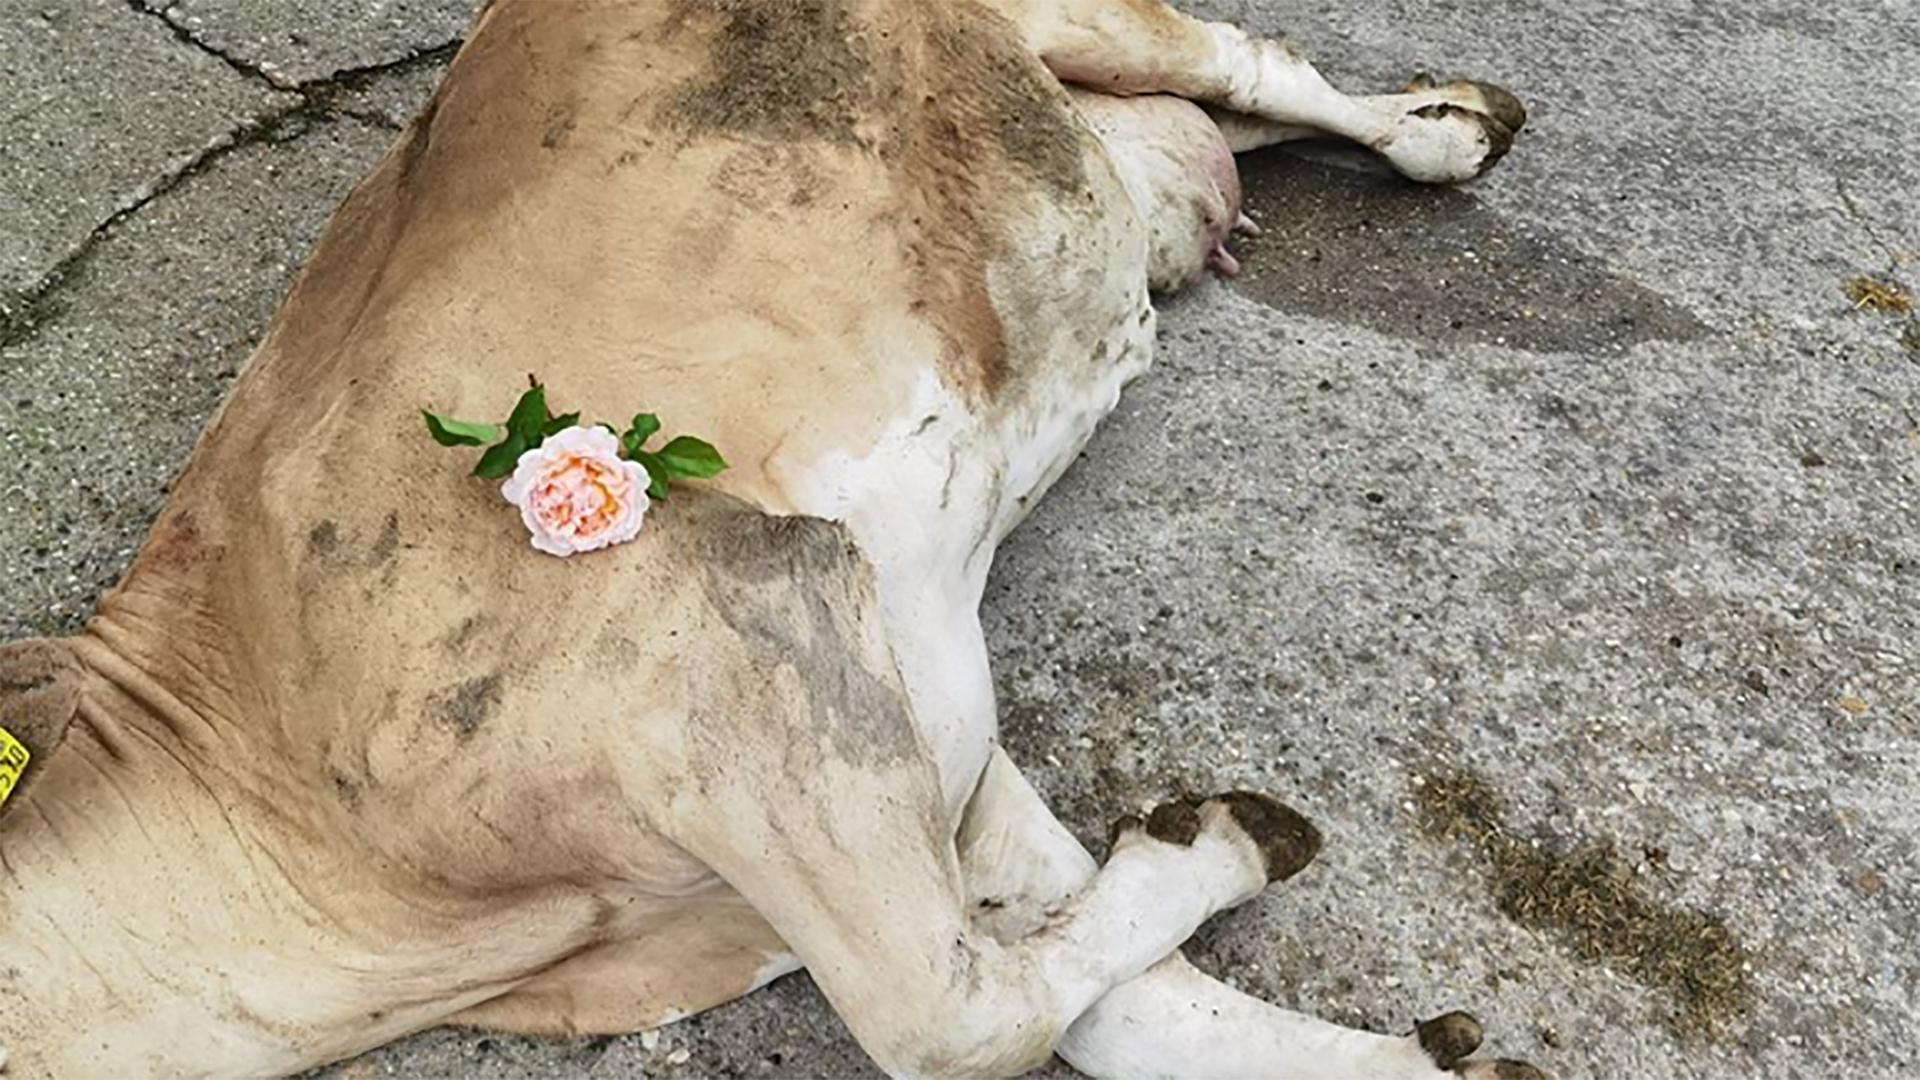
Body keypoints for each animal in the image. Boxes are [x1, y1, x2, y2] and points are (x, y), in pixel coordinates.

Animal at [0, 0, 1541, 1076]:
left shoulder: (728, 644)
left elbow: (953, 1026)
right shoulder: (917, 716)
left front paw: (1212, 850)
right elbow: (1110, 1007)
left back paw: (1451, 124)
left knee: (1252, 66)